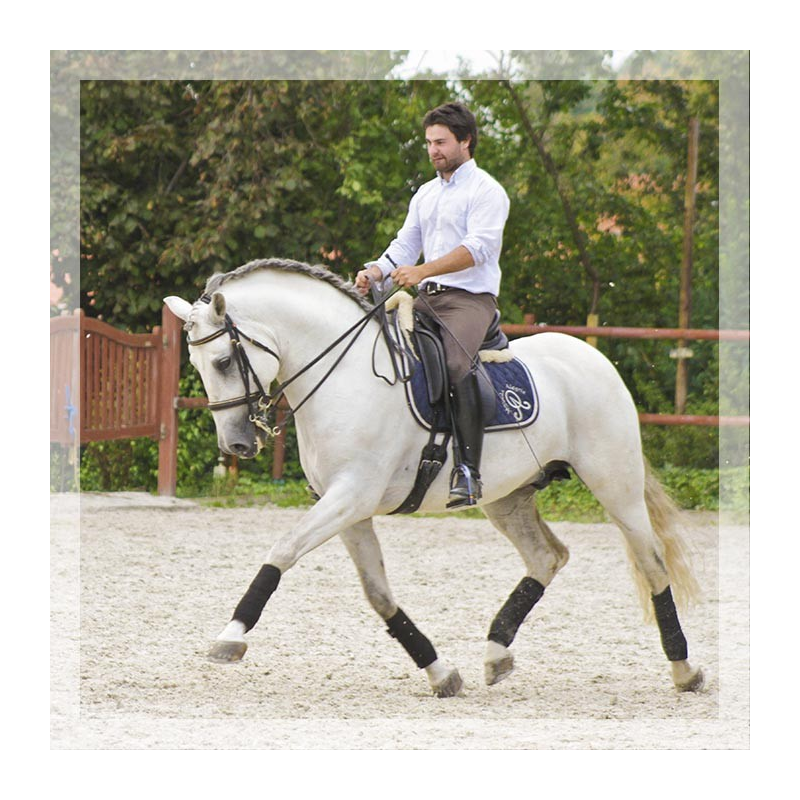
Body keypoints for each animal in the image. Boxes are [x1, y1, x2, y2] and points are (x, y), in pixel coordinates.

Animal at [164, 257, 705, 698]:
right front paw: (441, 672)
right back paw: (496, 653)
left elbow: (282, 550)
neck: (343, 377)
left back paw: (685, 670)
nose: (236, 445)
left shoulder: (351, 495)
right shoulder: (348, 509)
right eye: (196, 364)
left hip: (614, 484)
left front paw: (231, 636)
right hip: (507, 497)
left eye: (224, 361)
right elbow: (378, 594)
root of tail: (592, 356)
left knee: (652, 563)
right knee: (547, 557)